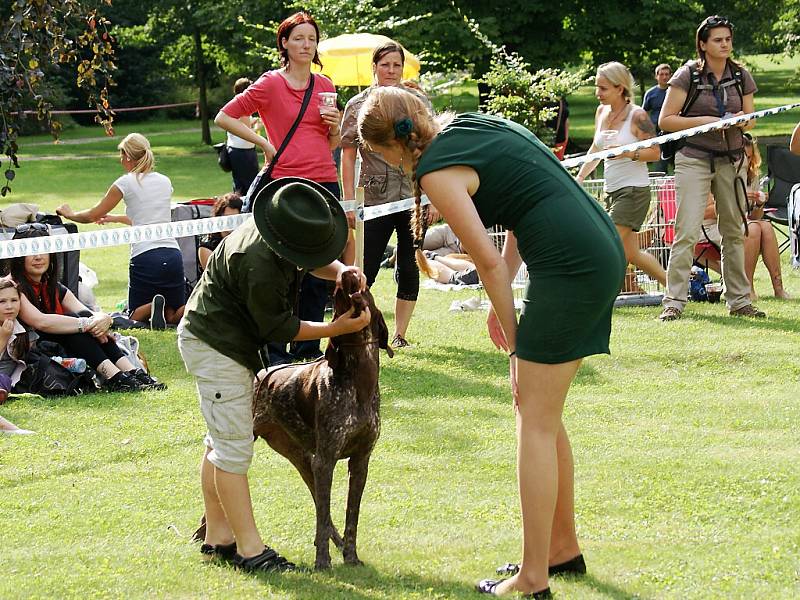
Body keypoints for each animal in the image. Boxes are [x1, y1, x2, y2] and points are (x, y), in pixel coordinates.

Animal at [252, 270, 392, 568]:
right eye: (338, 294)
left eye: (366, 288)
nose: (347, 272)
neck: (359, 379)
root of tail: (260, 374)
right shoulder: (326, 460)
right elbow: (324, 513)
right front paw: (322, 562)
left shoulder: (360, 461)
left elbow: (350, 517)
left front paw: (351, 556)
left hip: (301, 458)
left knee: (322, 510)